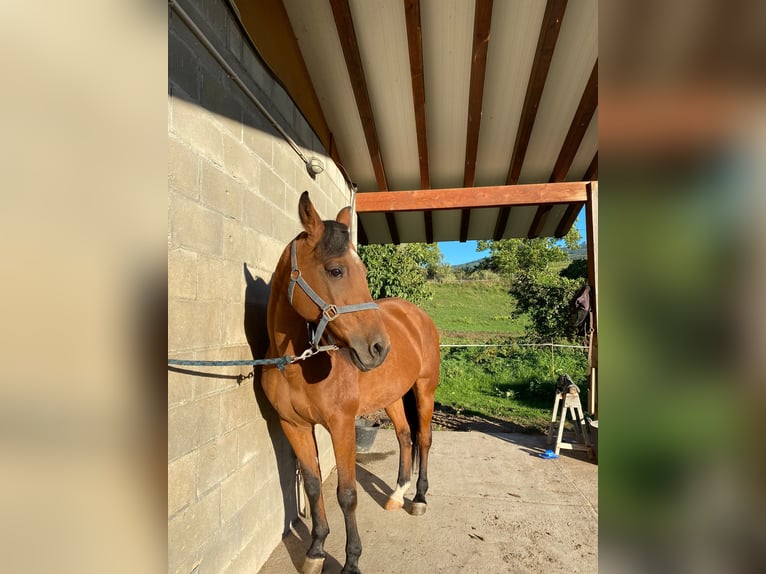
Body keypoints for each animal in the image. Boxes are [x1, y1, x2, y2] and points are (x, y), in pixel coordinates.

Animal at [260, 192, 440, 574]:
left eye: (364, 272)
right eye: (335, 270)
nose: (378, 348)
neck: (297, 364)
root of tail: (417, 315)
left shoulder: (341, 426)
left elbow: (347, 494)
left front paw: (351, 561)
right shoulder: (293, 426)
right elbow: (313, 486)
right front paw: (315, 550)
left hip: (424, 390)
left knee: (424, 439)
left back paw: (418, 498)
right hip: (392, 396)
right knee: (405, 436)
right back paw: (397, 495)